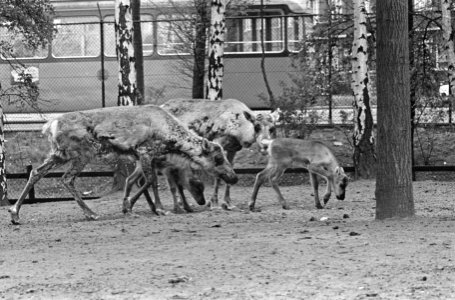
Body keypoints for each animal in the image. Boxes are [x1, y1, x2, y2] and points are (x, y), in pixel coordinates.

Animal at [8, 104, 237, 224]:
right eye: (218, 158)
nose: (233, 177)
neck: (168, 136)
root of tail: (49, 125)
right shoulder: (144, 151)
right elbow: (151, 181)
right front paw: (146, 208)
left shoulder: (142, 156)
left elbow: (145, 181)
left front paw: (137, 207)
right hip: (83, 153)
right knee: (67, 179)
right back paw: (91, 213)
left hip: (58, 154)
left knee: (35, 172)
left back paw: (15, 213)